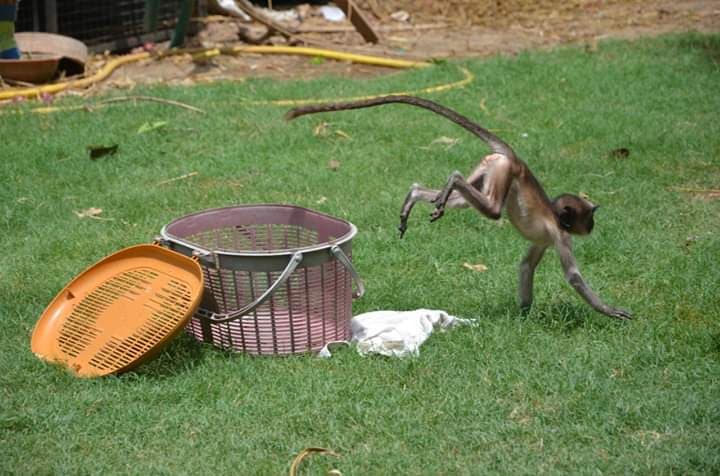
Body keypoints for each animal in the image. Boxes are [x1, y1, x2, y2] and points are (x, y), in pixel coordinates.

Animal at [286, 95, 631, 320]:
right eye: (588, 217)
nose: (592, 225)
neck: (556, 220)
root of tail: (516, 159)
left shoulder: (544, 240)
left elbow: (525, 266)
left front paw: (524, 314)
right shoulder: (560, 236)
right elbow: (573, 276)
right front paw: (609, 310)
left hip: (492, 166)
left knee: (464, 199)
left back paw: (417, 194)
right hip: (503, 172)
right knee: (491, 209)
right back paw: (451, 179)